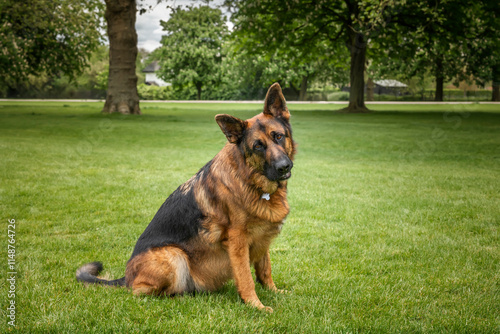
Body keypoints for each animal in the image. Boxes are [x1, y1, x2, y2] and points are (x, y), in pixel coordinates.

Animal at [77, 83, 296, 314]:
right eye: (258, 146)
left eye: (278, 136)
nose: (284, 167)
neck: (252, 180)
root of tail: (126, 277)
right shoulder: (238, 241)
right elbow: (246, 278)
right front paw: (256, 305)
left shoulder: (262, 237)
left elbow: (265, 269)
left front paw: (274, 291)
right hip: (174, 256)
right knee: (141, 293)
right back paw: (179, 297)